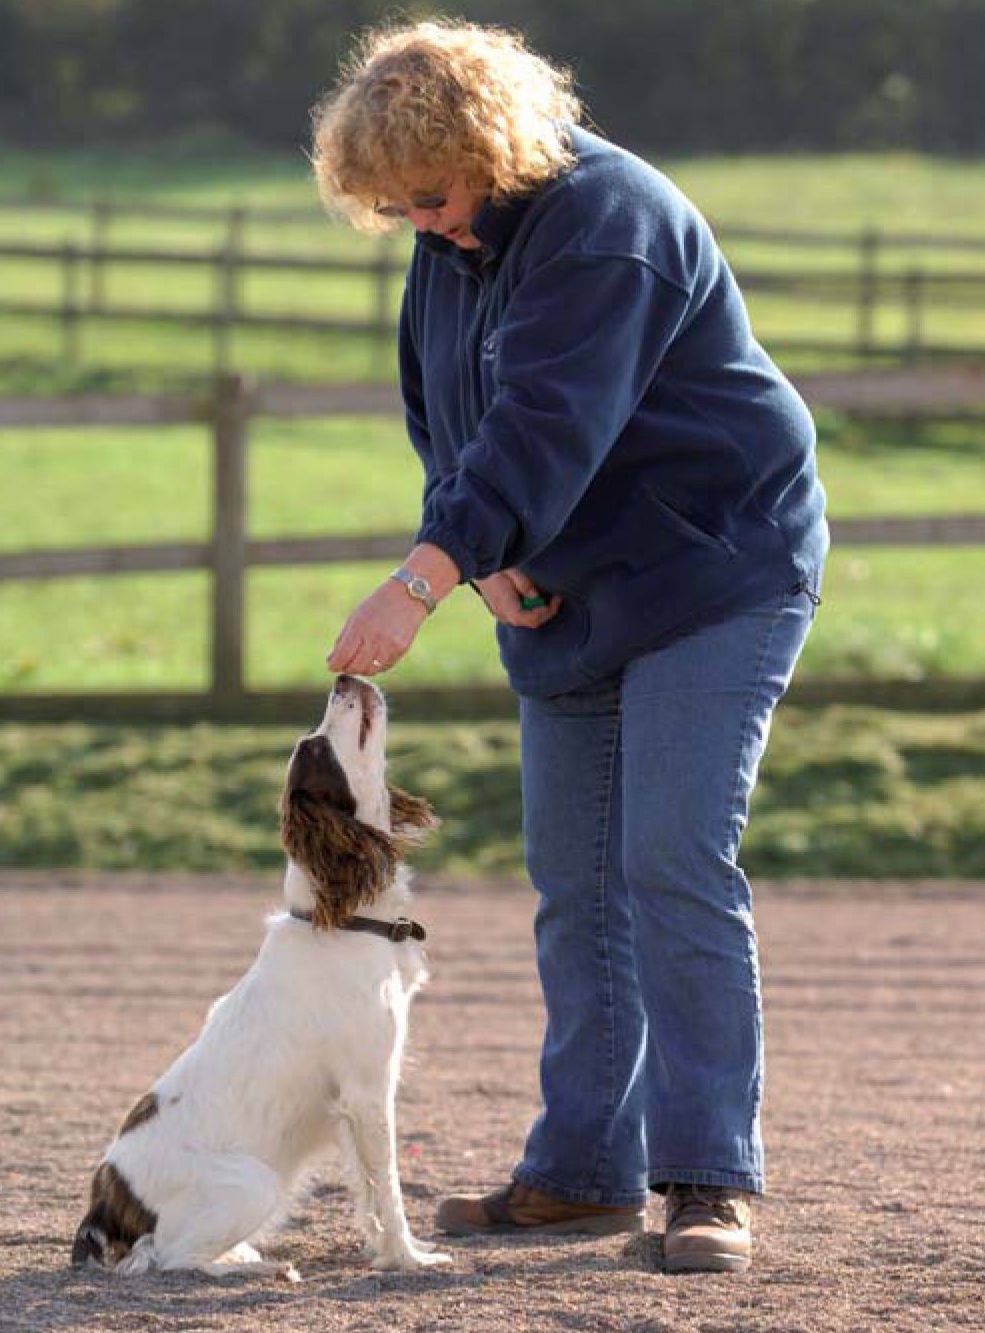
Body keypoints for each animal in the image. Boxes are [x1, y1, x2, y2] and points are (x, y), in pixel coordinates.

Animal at [71, 674, 449, 1278]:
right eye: (319, 749)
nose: (343, 677)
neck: (345, 919)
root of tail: (101, 1208)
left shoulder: (351, 1108)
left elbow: (367, 1192)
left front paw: (384, 1253)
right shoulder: (370, 1091)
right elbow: (388, 1191)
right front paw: (410, 1258)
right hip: (254, 1181)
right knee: (171, 1259)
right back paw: (259, 1267)